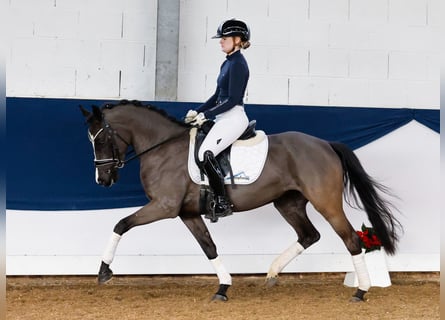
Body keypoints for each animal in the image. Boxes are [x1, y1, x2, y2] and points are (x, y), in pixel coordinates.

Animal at [80, 100, 402, 302]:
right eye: (92, 141)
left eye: (101, 139)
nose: (103, 180)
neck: (163, 147)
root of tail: (325, 144)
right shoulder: (187, 213)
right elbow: (209, 247)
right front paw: (223, 287)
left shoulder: (164, 206)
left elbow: (121, 224)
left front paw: (104, 271)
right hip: (288, 203)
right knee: (309, 235)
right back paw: (272, 273)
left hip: (326, 203)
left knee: (350, 238)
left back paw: (361, 291)